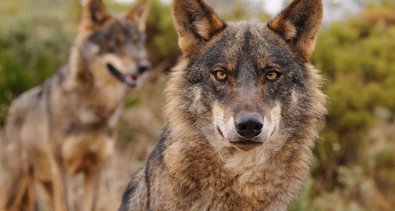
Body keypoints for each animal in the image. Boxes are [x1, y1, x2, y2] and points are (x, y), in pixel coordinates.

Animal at [0, 0, 150, 211]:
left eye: (137, 42)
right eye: (114, 42)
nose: (144, 66)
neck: (94, 110)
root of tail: (13, 104)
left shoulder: (95, 169)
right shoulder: (63, 168)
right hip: (16, 186)